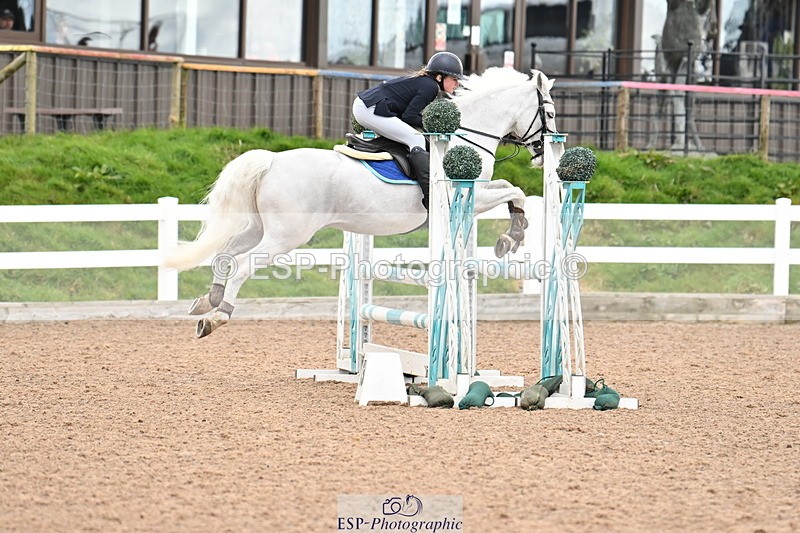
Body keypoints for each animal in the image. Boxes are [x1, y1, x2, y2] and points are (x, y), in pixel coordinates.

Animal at [164, 67, 557, 338]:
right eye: (550, 113)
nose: (543, 153)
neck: (466, 134)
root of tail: (271, 161)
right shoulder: (470, 197)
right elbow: (515, 191)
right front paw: (512, 238)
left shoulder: (479, 191)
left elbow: (510, 188)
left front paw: (513, 232)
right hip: (286, 236)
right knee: (243, 265)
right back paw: (218, 315)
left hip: (261, 227)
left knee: (226, 254)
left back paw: (208, 300)